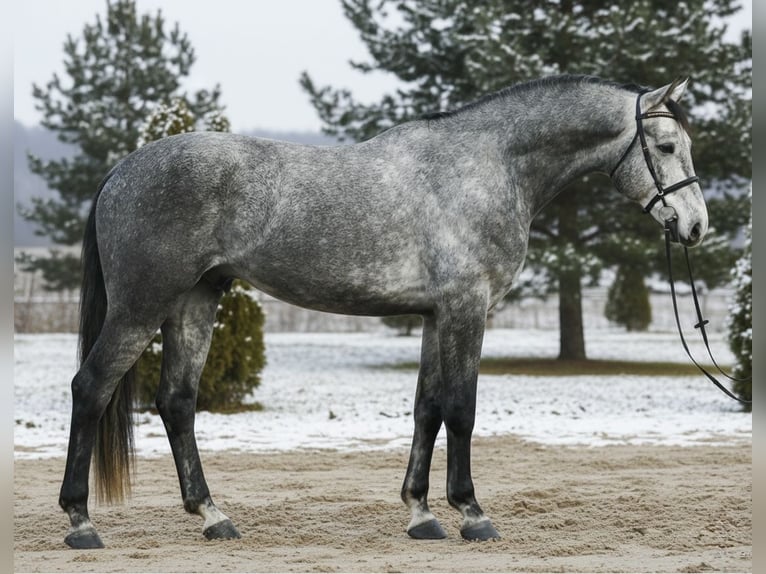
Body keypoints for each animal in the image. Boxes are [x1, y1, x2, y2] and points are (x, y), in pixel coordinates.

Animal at [59, 75, 708, 548]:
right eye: (667, 147)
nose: (696, 226)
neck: (487, 165)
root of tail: (122, 172)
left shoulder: (434, 316)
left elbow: (427, 410)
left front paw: (421, 514)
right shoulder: (466, 309)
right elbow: (462, 409)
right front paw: (472, 513)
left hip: (196, 299)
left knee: (177, 402)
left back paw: (213, 516)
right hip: (142, 306)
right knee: (91, 388)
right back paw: (81, 522)